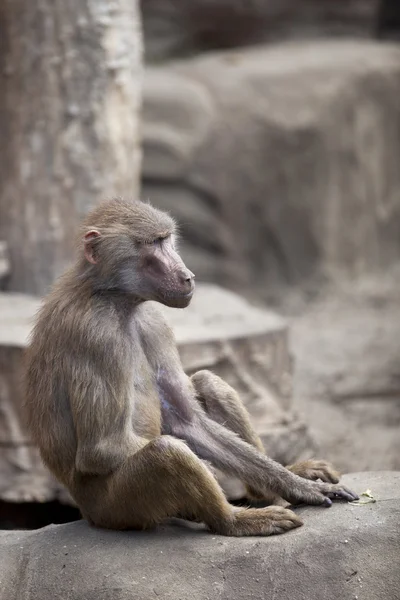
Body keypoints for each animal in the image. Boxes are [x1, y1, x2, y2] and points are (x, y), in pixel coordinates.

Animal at [23, 199, 358, 536]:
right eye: (153, 243)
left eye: (167, 239)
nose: (188, 275)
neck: (112, 296)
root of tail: (86, 510)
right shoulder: (99, 336)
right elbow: (102, 448)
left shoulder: (154, 322)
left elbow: (188, 421)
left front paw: (295, 483)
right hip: (116, 510)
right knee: (167, 452)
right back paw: (235, 520)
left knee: (209, 383)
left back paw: (271, 488)